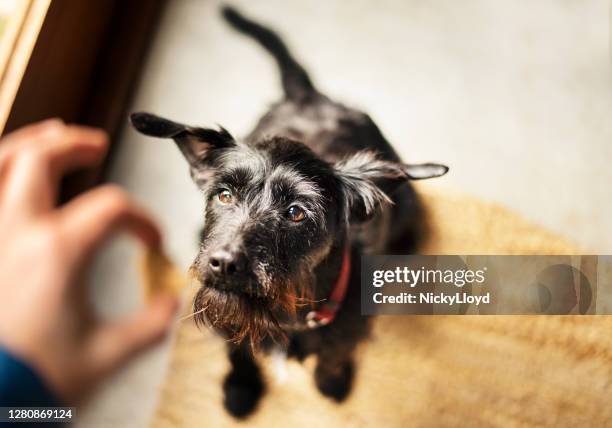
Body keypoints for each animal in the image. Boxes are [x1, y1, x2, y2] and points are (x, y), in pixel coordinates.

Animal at [129, 5, 448, 418]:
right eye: (225, 195)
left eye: (296, 212)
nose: (224, 263)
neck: (287, 311)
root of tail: (311, 97)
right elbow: (238, 350)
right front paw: (240, 388)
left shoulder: (349, 327)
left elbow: (334, 354)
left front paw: (331, 383)